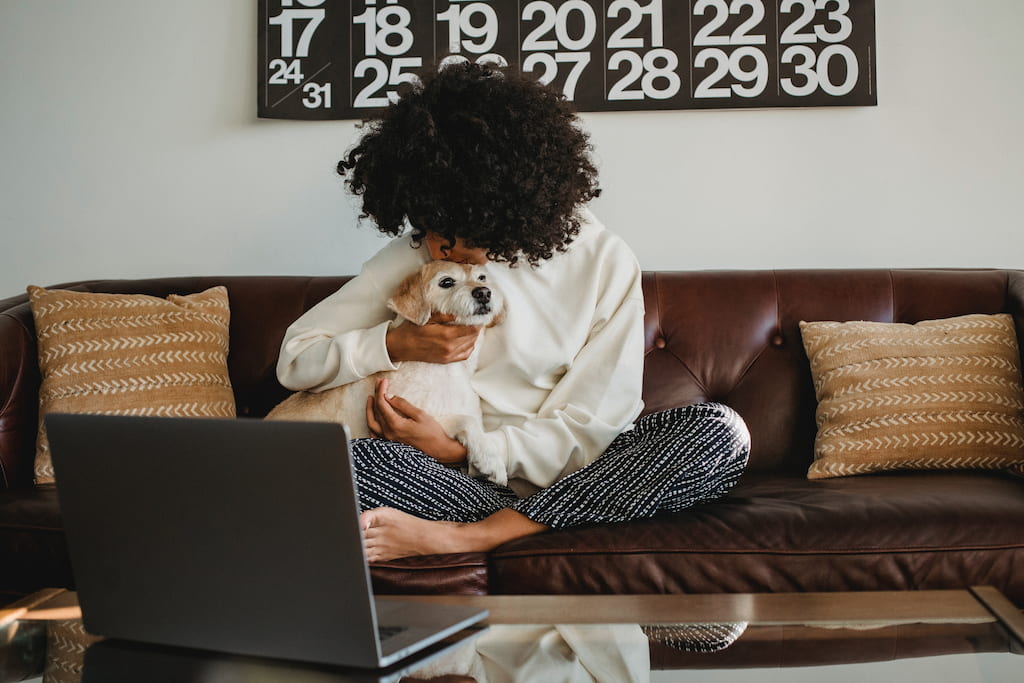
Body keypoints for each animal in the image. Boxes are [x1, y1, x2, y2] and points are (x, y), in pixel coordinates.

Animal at [264, 260, 503, 481]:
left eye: (482, 277)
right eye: (446, 282)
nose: (484, 292)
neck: (445, 369)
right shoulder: (410, 417)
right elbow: (465, 420)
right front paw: (489, 458)